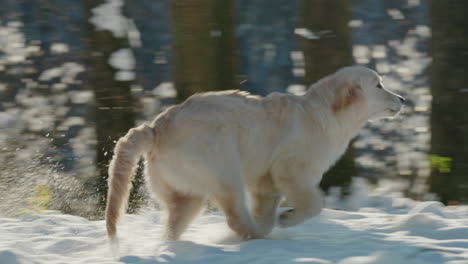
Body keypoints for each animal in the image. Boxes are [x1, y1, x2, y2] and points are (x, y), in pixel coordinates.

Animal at [104, 66, 404, 241]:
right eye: (378, 85)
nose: (402, 99)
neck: (326, 113)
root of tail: (156, 128)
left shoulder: (265, 181)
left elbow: (266, 202)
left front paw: (276, 219)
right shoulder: (291, 168)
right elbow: (314, 202)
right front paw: (288, 218)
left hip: (184, 189)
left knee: (178, 218)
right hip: (221, 165)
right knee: (235, 214)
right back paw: (254, 236)